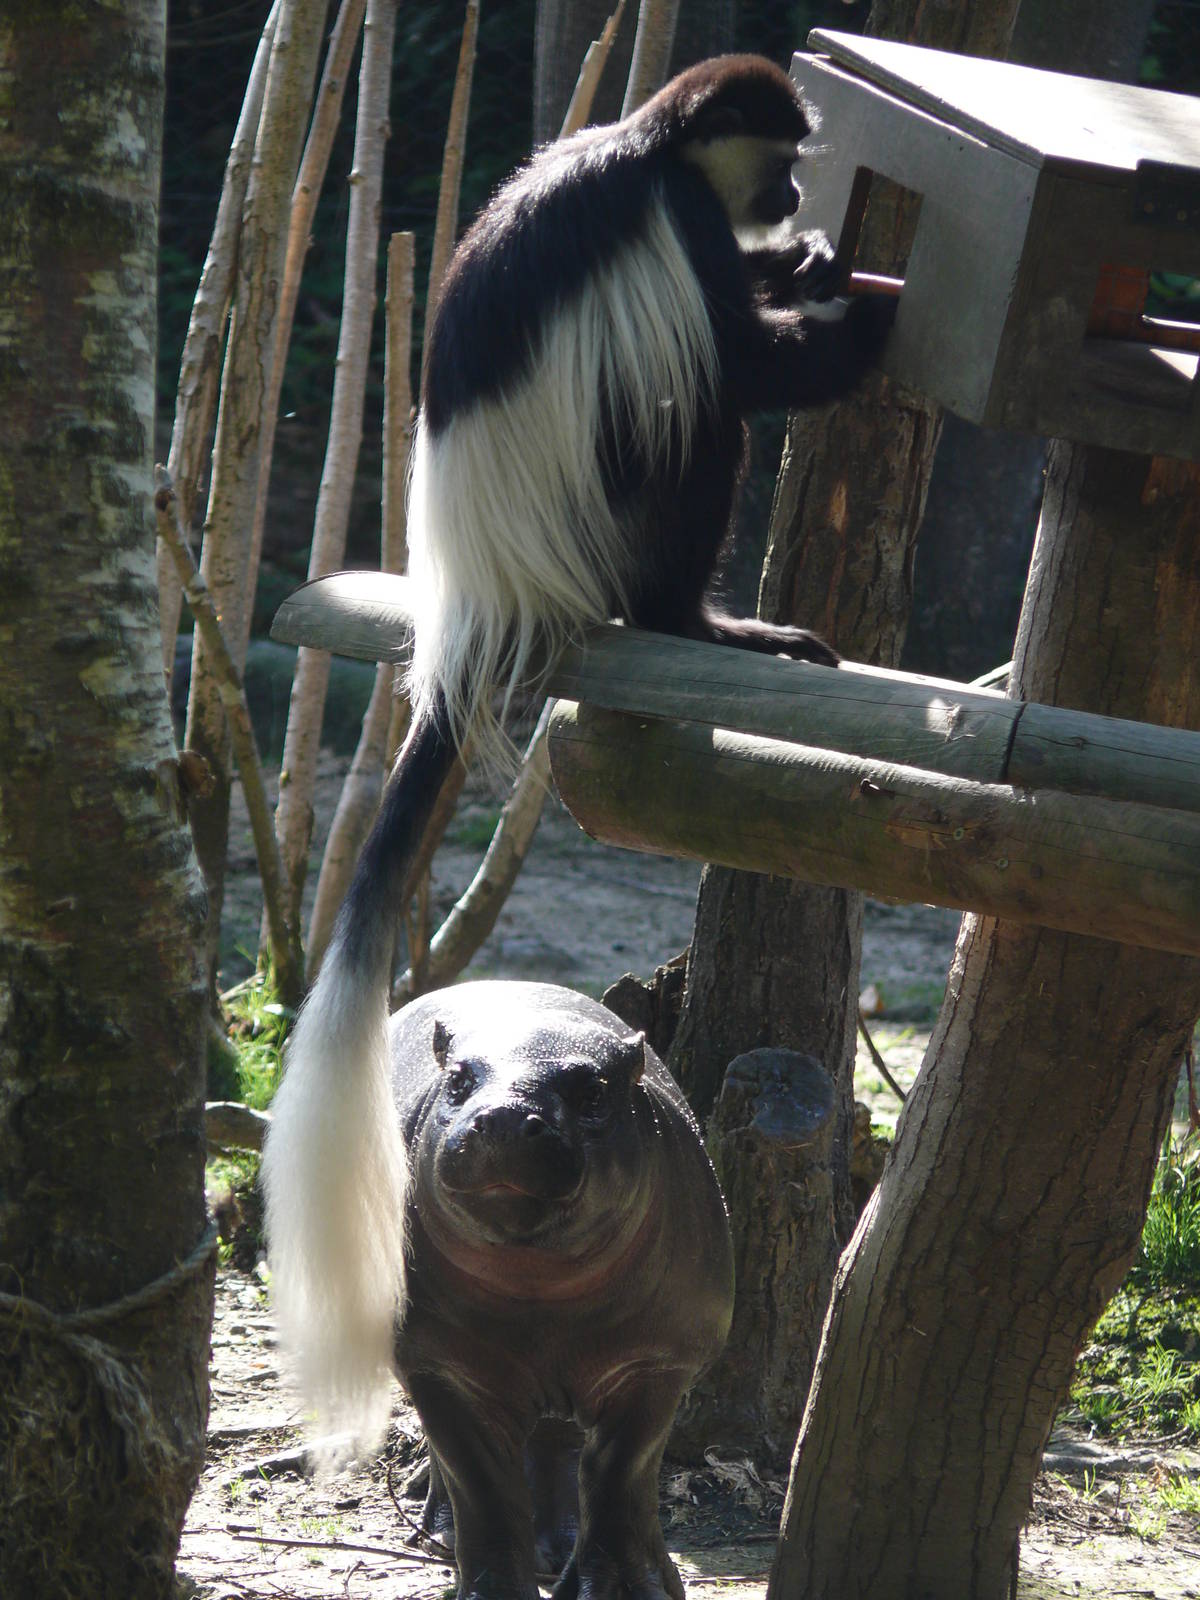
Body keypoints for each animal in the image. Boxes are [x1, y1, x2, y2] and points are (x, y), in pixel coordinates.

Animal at [390, 981, 734, 1600]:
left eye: (594, 1092)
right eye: (458, 1080)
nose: (504, 1118)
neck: (538, 1283)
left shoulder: (655, 1362)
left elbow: (619, 1474)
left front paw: (631, 1591)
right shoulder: (443, 1366)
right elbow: (480, 1485)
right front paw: (490, 1592)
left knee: (557, 1444)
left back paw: (556, 1549)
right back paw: (448, 1535)